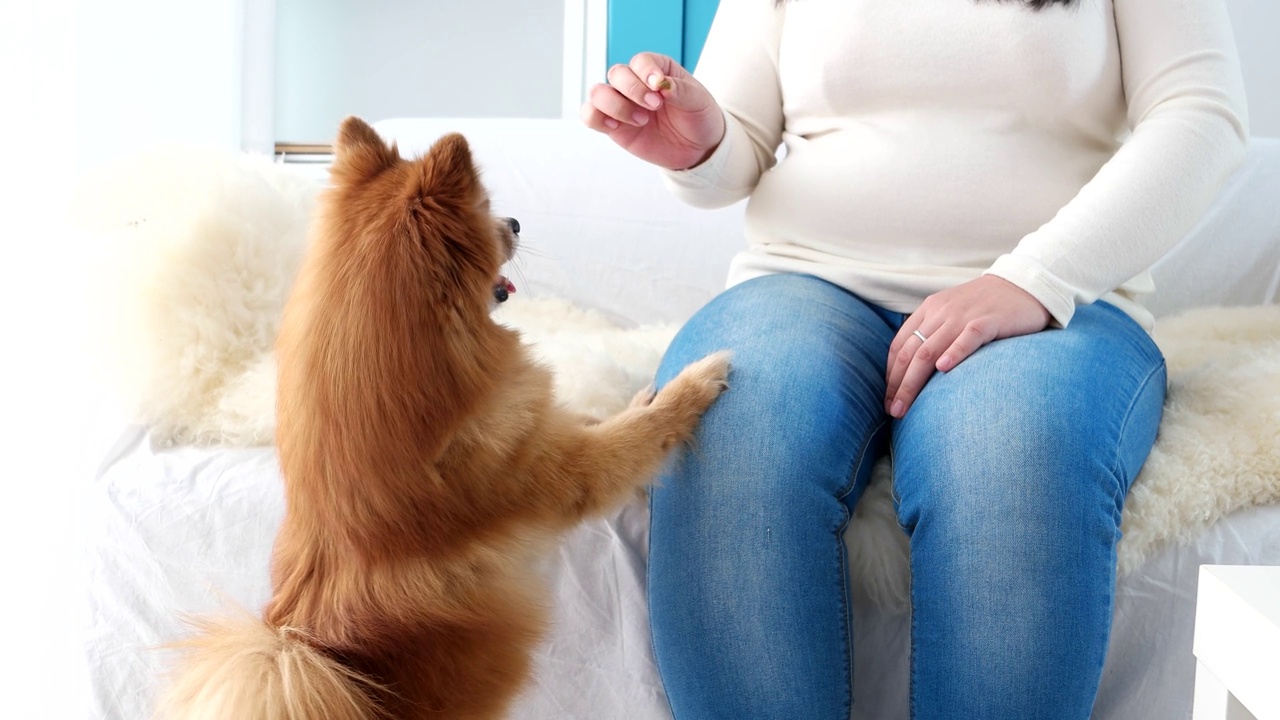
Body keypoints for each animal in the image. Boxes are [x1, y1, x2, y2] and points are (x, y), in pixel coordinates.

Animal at [152, 114, 732, 712]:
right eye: (487, 208)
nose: (517, 220)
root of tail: (307, 650)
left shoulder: (539, 431)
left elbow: (596, 422)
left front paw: (640, 396)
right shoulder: (563, 474)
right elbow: (634, 438)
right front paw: (693, 383)